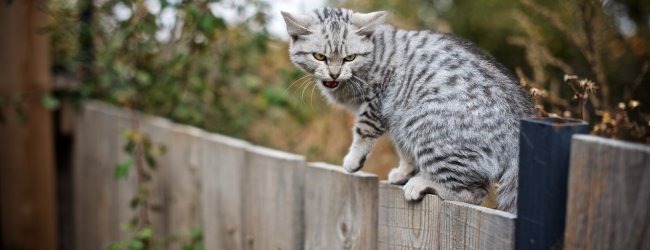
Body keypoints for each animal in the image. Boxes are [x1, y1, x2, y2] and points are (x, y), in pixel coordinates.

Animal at [282, 6, 532, 212]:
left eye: (349, 57)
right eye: (319, 56)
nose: (334, 74)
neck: (375, 52)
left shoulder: (377, 102)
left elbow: (363, 131)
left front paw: (353, 160)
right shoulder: (395, 116)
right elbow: (403, 150)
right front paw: (404, 171)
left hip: (426, 127)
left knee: (473, 192)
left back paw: (422, 184)